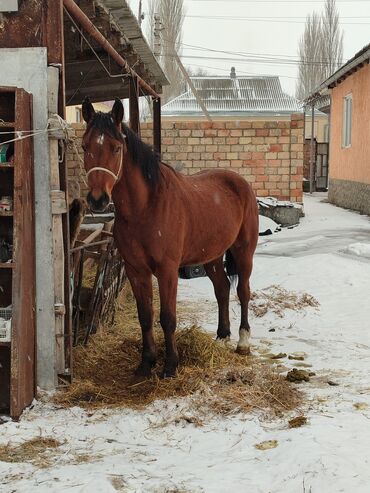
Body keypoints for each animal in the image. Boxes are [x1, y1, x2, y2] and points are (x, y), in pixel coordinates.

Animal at [82, 99, 258, 376]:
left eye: (116, 148)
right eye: (85, 146)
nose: (98, 200)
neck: (145, 208)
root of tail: (242, 183)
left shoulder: (167, 270)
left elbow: (167, 317)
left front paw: (170, 365)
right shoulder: (136, 270)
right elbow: (145, 316)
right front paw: (146, 362)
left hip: (244, 252)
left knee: (243, 291)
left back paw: (242, 341)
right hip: (212, 256)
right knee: (221, 289)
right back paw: (222, 336)